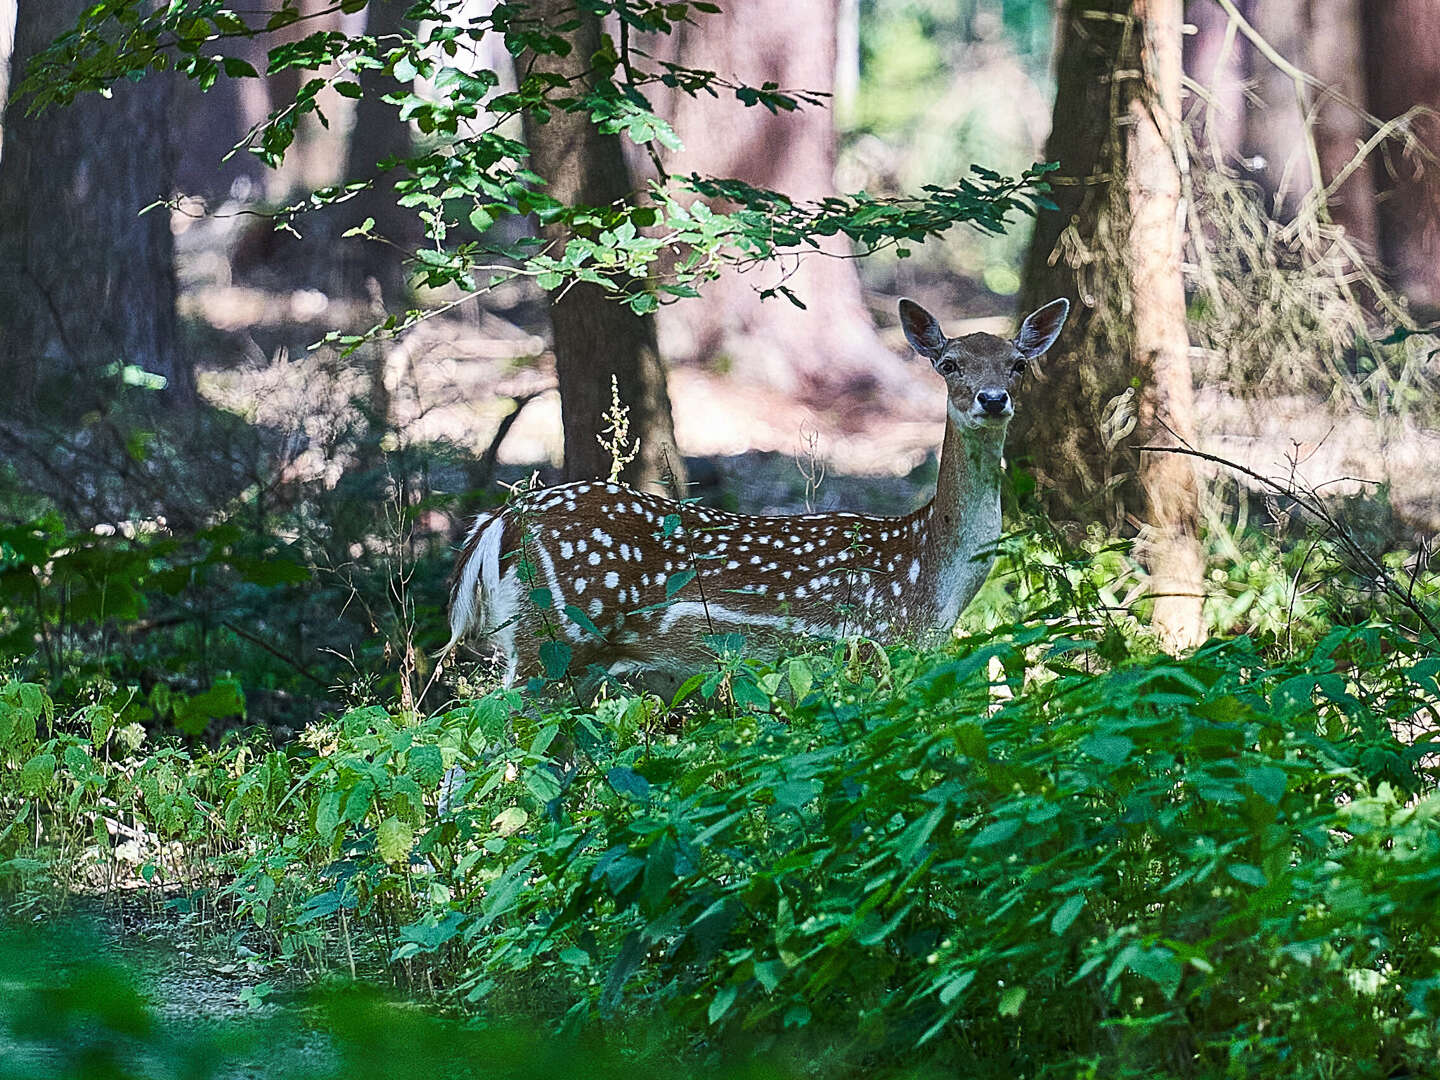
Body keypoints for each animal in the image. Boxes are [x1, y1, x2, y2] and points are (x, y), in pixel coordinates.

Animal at [446, 296, 1071, 694]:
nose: (992, 398)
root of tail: (501, 522)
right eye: (948, 364)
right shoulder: (873, 650)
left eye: (1018, 364)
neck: (928, 580)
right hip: (553, 640)